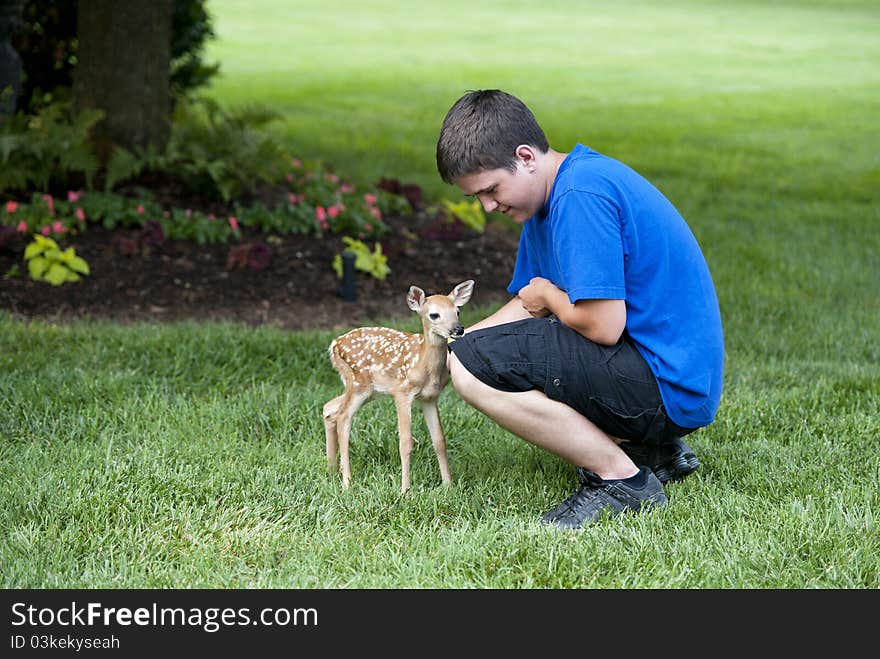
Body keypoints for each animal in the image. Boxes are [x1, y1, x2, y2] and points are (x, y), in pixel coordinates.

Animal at [324, 282, 474, 492]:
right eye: (434, 315)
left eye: (458, 311)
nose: (458, 329)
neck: (422, 363)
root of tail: (334, 345)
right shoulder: (402, 392)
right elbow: (405, 443)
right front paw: (405, 491)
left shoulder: (429, 398)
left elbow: (439, 440)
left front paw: (448, 486)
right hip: (358, 383)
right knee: (343, 417)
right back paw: (347, 481)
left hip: (366, 389)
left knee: (329, 408)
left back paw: (332, 470)